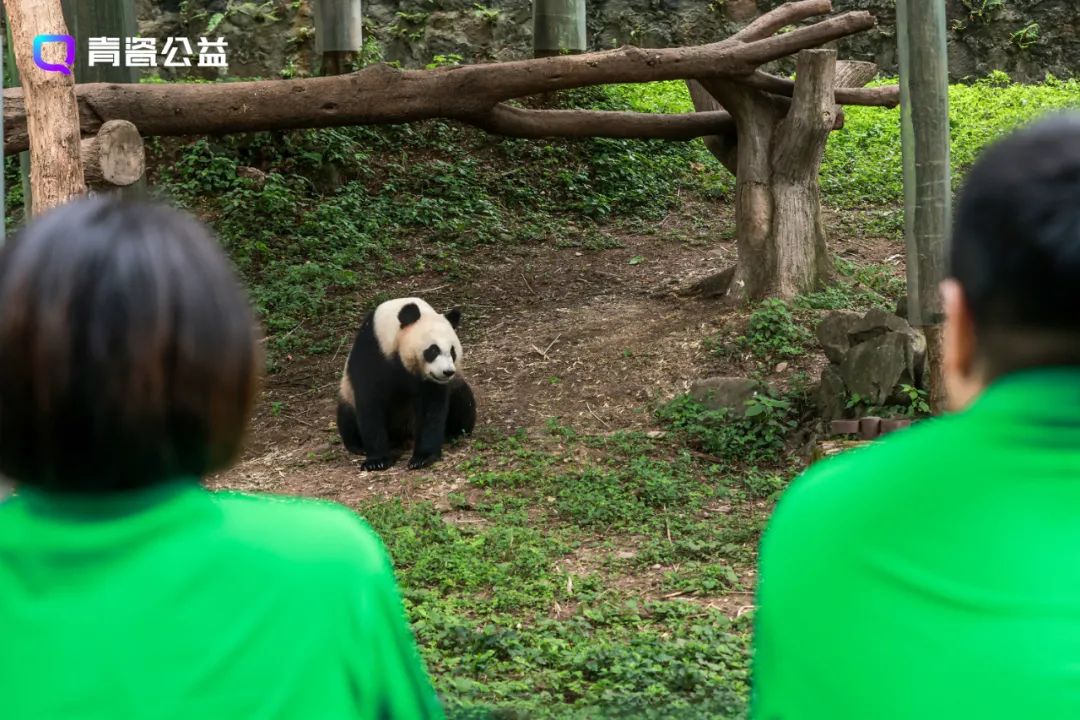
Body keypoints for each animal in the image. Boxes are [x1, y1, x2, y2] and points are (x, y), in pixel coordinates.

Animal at [334, 295, 475, 470]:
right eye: (433, 350)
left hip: (456, 385)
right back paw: (359, 446)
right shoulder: (372, 351)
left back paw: (453, 433)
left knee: (462, 399)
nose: (447, 372)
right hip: (347, 393)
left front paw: (422, 458)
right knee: (347, 417)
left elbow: (432, 408)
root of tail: (404, 437)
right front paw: (377, 461)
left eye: (453, 351)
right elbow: (369, 403)